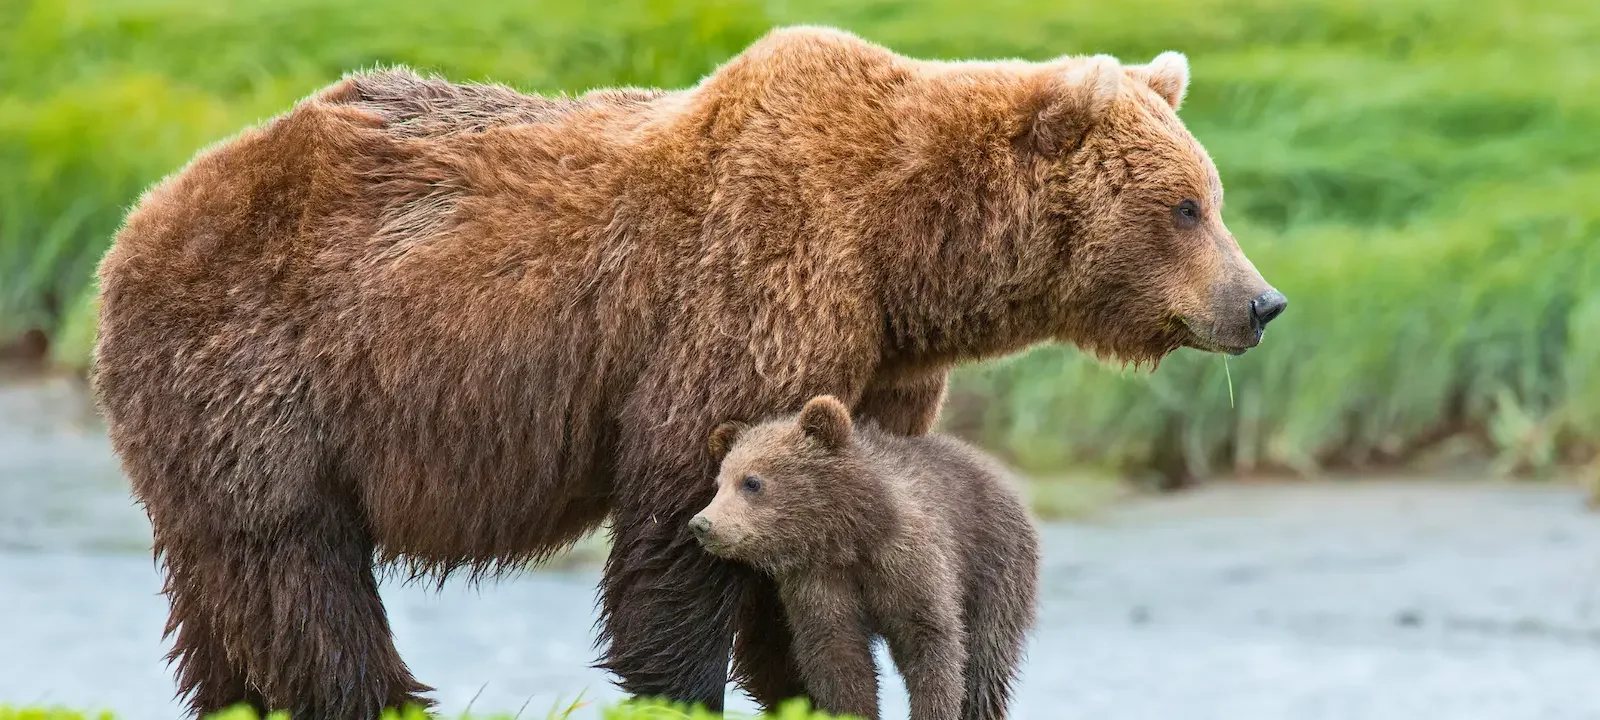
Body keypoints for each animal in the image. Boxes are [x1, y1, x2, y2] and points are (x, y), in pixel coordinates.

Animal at [691, 395, 1040, 720]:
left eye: (752, 481)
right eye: (719, 483)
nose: (702, 524)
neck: (850, 536)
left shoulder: (911, 564)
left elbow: (933, 644)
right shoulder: (817, 582)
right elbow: (839, 658)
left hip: (996, 569)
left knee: (986, 660)